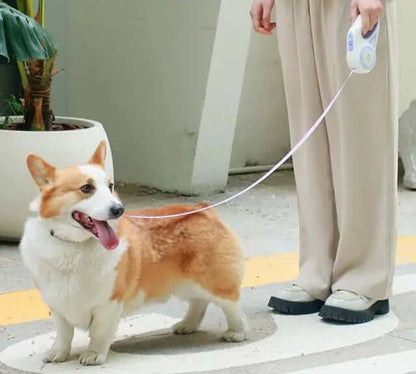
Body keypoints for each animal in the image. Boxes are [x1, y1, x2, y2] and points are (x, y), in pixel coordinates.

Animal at [19, 141, 247, 366]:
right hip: (184, 283)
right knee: (199, 301)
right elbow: (63, 333)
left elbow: (100, 332)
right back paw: (187, 325)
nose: (119, 209)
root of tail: (205, 209)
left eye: (110, 186)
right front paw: (57, 353)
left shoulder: (109, 303)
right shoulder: (57, 304)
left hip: (212, 283)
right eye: (86, 188)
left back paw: (237, 332)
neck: (76, 245)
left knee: (232, 305)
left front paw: (94, 354)